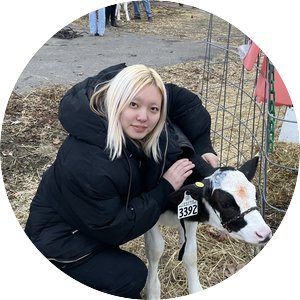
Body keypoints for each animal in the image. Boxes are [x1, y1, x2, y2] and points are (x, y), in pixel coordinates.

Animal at [144, 157, 274, 300]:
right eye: (225, 204)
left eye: (255, 195)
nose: (264, 233)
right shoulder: (151, 217)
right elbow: (155, 249)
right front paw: (152, 291)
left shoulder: (190, 218)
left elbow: (190, 254)